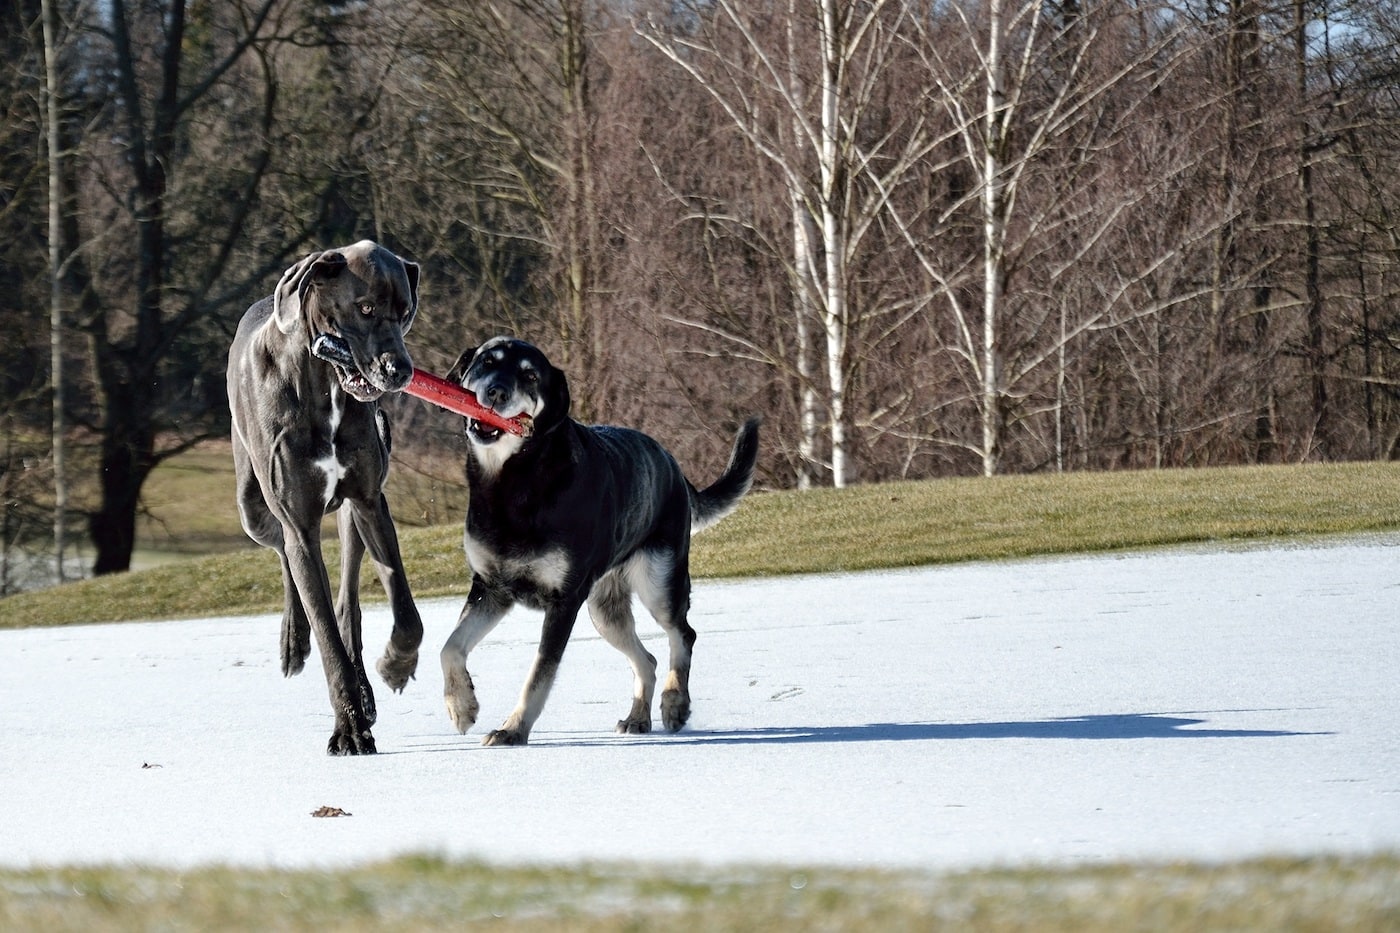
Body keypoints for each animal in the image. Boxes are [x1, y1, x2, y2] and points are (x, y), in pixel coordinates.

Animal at [226, 236, 422, 750]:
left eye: (405, 311)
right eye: (366, 307)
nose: (400, 371)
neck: (322, 384)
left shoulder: (371, 502)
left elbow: (406, 611)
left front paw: (396, 664)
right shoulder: (298, 519)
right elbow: (326, 634)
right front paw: (349, 728)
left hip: (349, 514)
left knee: (346, 601)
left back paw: (366, 688)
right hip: (251, 506)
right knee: (283, 551)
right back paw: (294, 638)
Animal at [442, 334, 761, 739]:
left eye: (530, 376)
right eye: (486, 361)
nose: (496, 392)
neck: (516, 479)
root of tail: (674, 466)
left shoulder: (563, 602)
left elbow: (539, 674)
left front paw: (513, 729)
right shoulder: (491, 588)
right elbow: (450, 647)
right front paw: (461, 705)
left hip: (659, 584)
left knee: (682, 635)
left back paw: (675, 702)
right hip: (604, 611)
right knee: (648, 659)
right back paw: (639, 717)